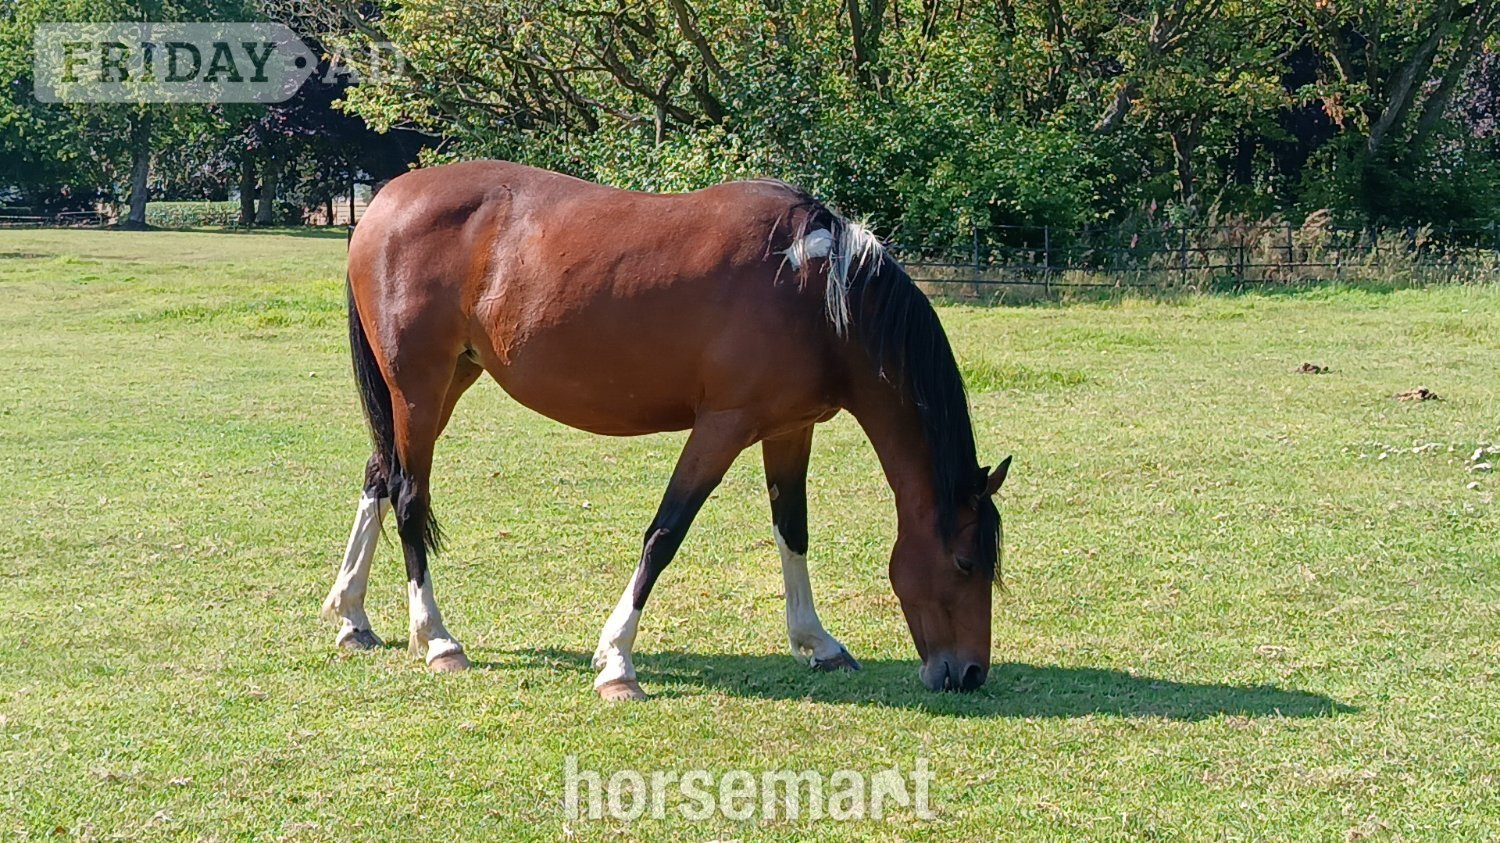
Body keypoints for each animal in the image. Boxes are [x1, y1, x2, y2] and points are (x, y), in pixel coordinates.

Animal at [321, 160, 1010, 700]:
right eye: (965, 562)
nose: (970, 673)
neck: (816, 291)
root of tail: (384, 201)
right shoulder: (722, 427)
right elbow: (665, 534)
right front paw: (617, 661)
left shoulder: (789, 431)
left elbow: (793, 531)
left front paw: (818, 643)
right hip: (418, 389)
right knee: (409, 496)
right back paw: (438, 640)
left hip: (444, 386)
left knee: (379, 475)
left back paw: (354, 618)